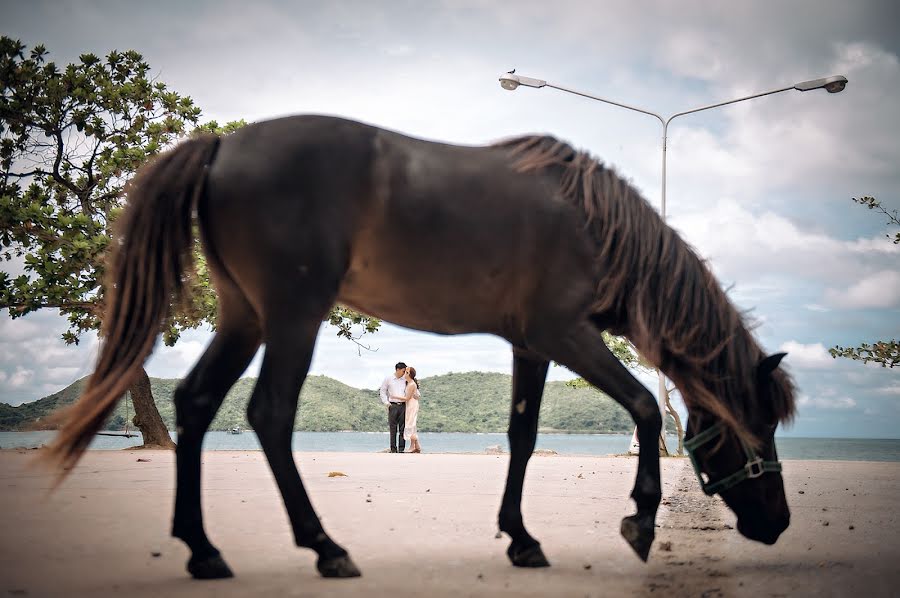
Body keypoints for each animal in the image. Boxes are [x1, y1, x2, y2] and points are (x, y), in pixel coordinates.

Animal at [40, 113, 796, 580]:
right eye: (759, 426)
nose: (780, 523)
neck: (592, 222)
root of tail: (222, 147)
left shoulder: (531, 345)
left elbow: (522, 436)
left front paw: (522, 538)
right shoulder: (567, 333)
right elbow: (641, 406)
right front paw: (639, 521)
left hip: (243, 315)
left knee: (197, 403)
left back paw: (204, 552)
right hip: (293, 315)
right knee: (269, 415)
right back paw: (325, 548)